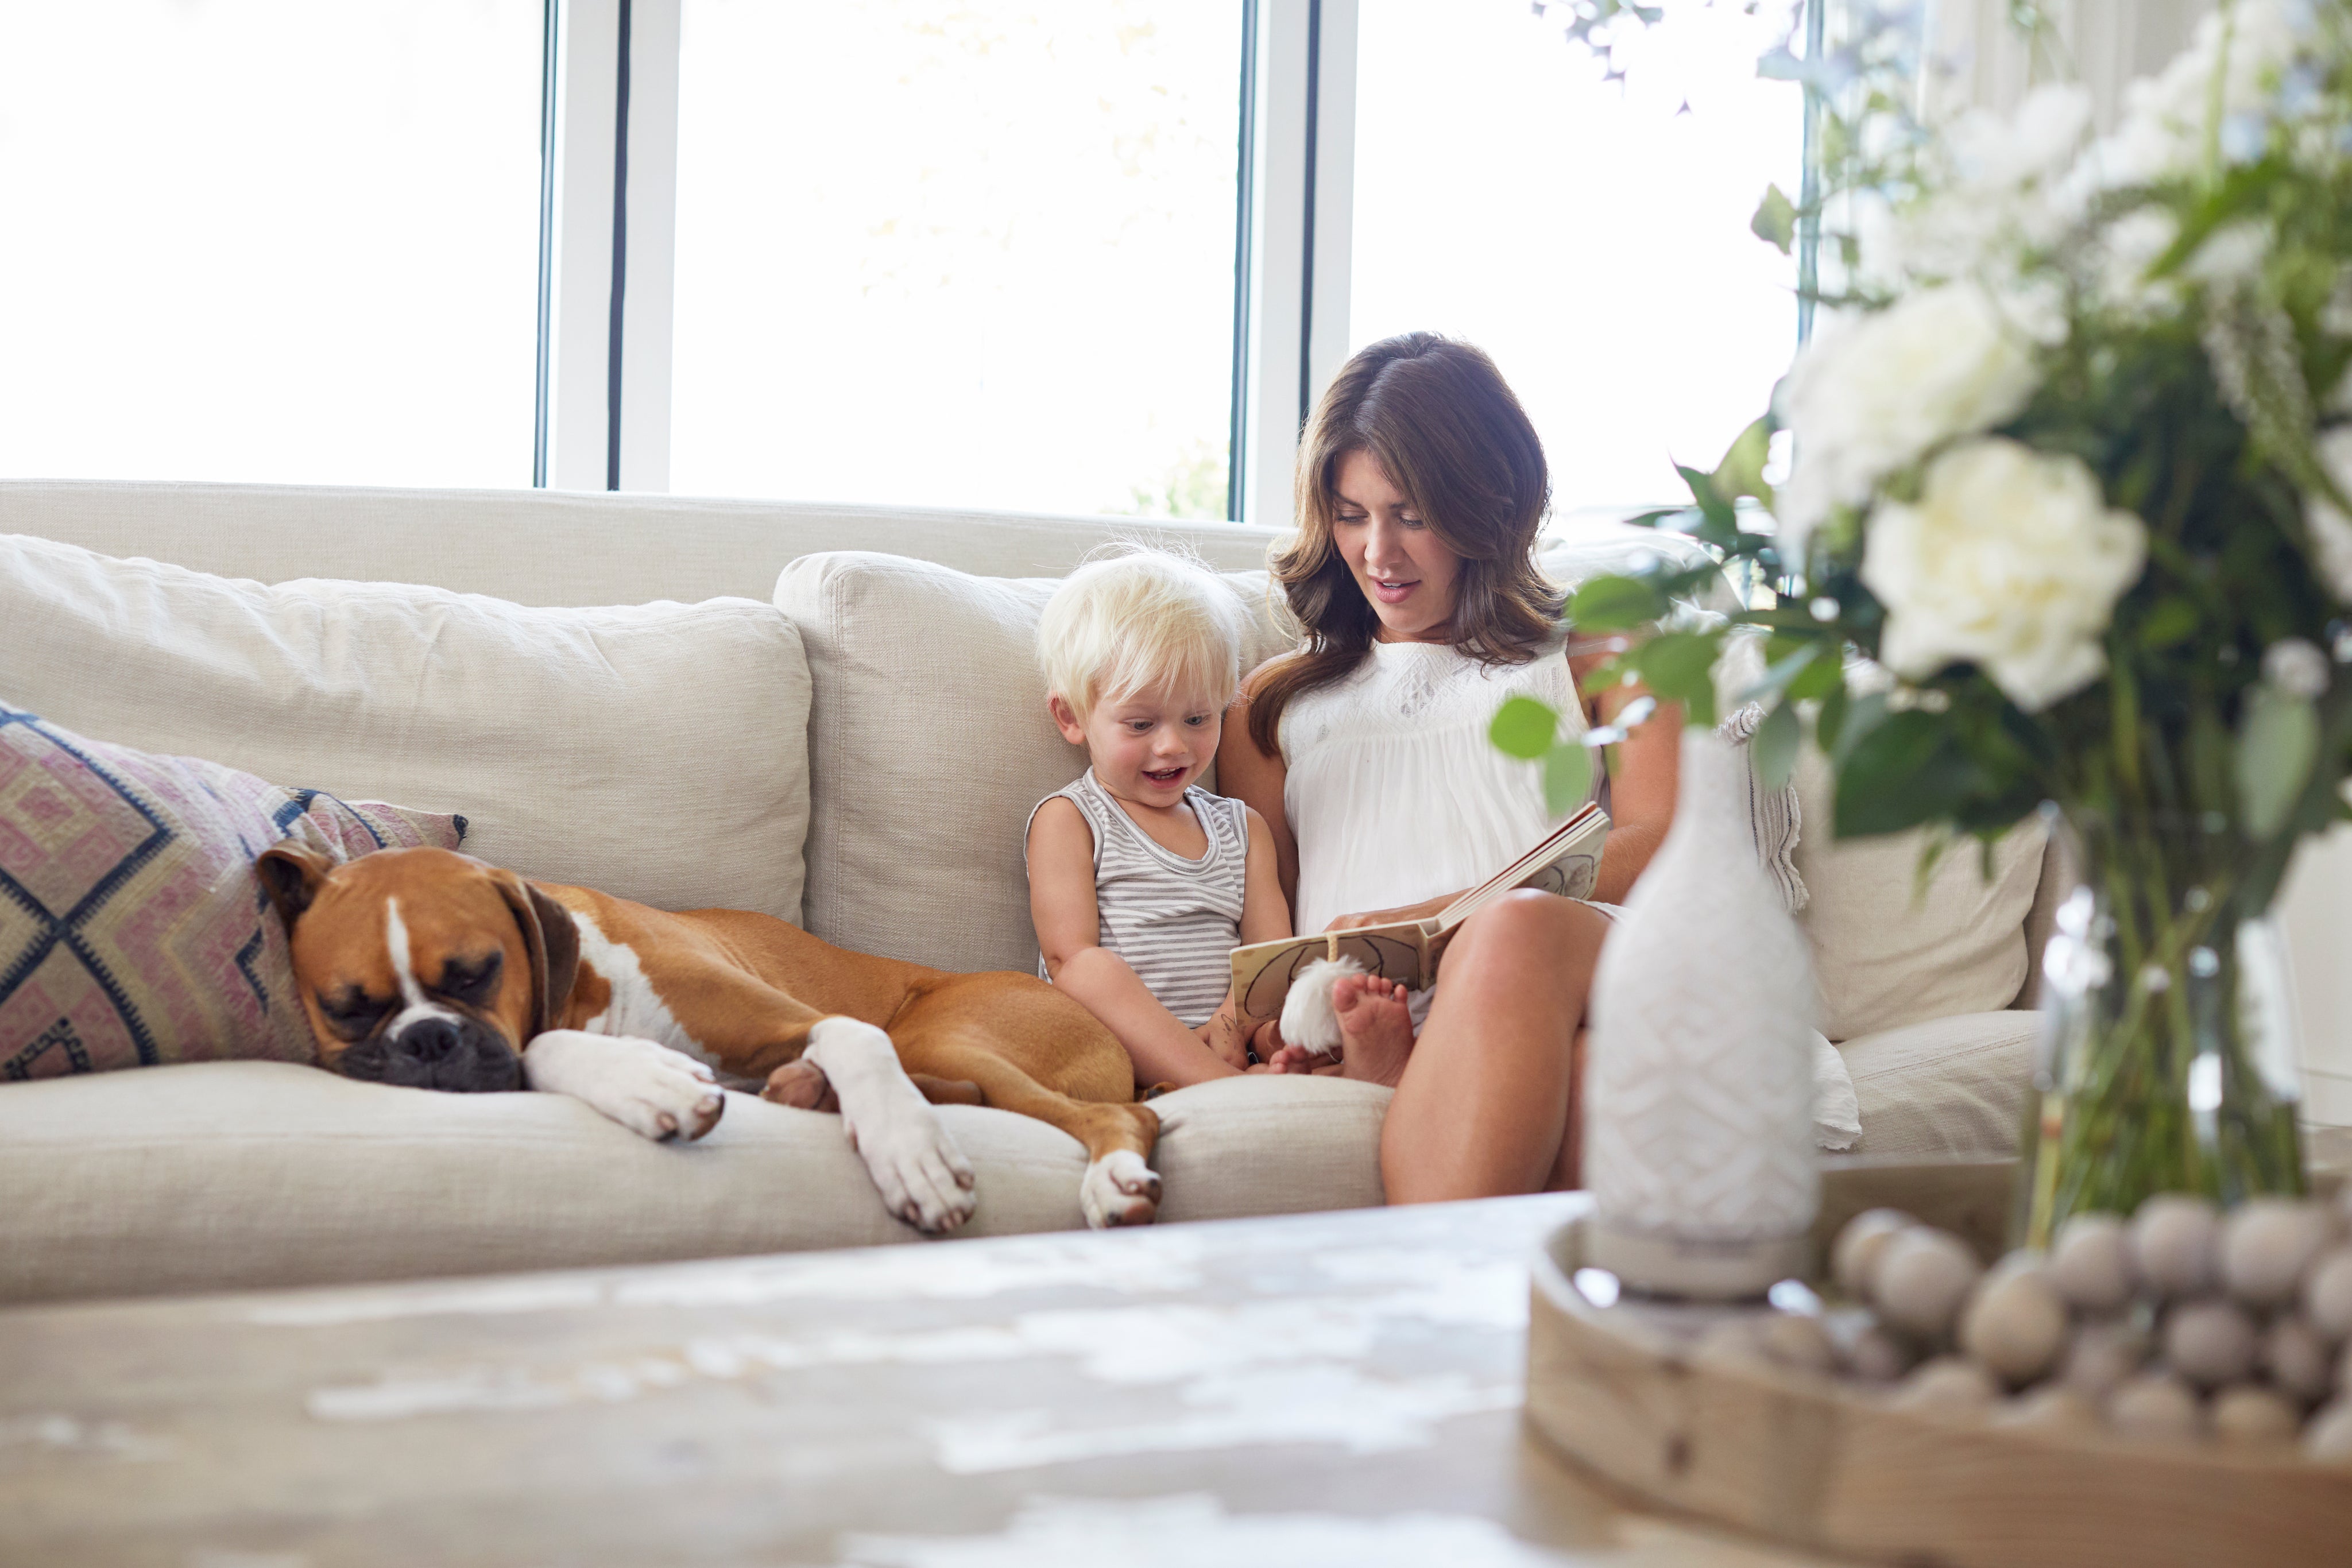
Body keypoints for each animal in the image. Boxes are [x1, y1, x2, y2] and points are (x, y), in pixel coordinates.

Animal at [253, 846, 1162, 1241]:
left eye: (477, 973)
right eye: (344, 1008)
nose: (430, 1040)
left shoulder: (798, 1019)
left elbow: (858, 1043)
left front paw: (913, 1158)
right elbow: (547, 1051)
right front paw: (647, 1082)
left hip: (948, 1031)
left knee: (1120, 1115)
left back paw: (1116, 1180)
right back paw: (802, 1090)